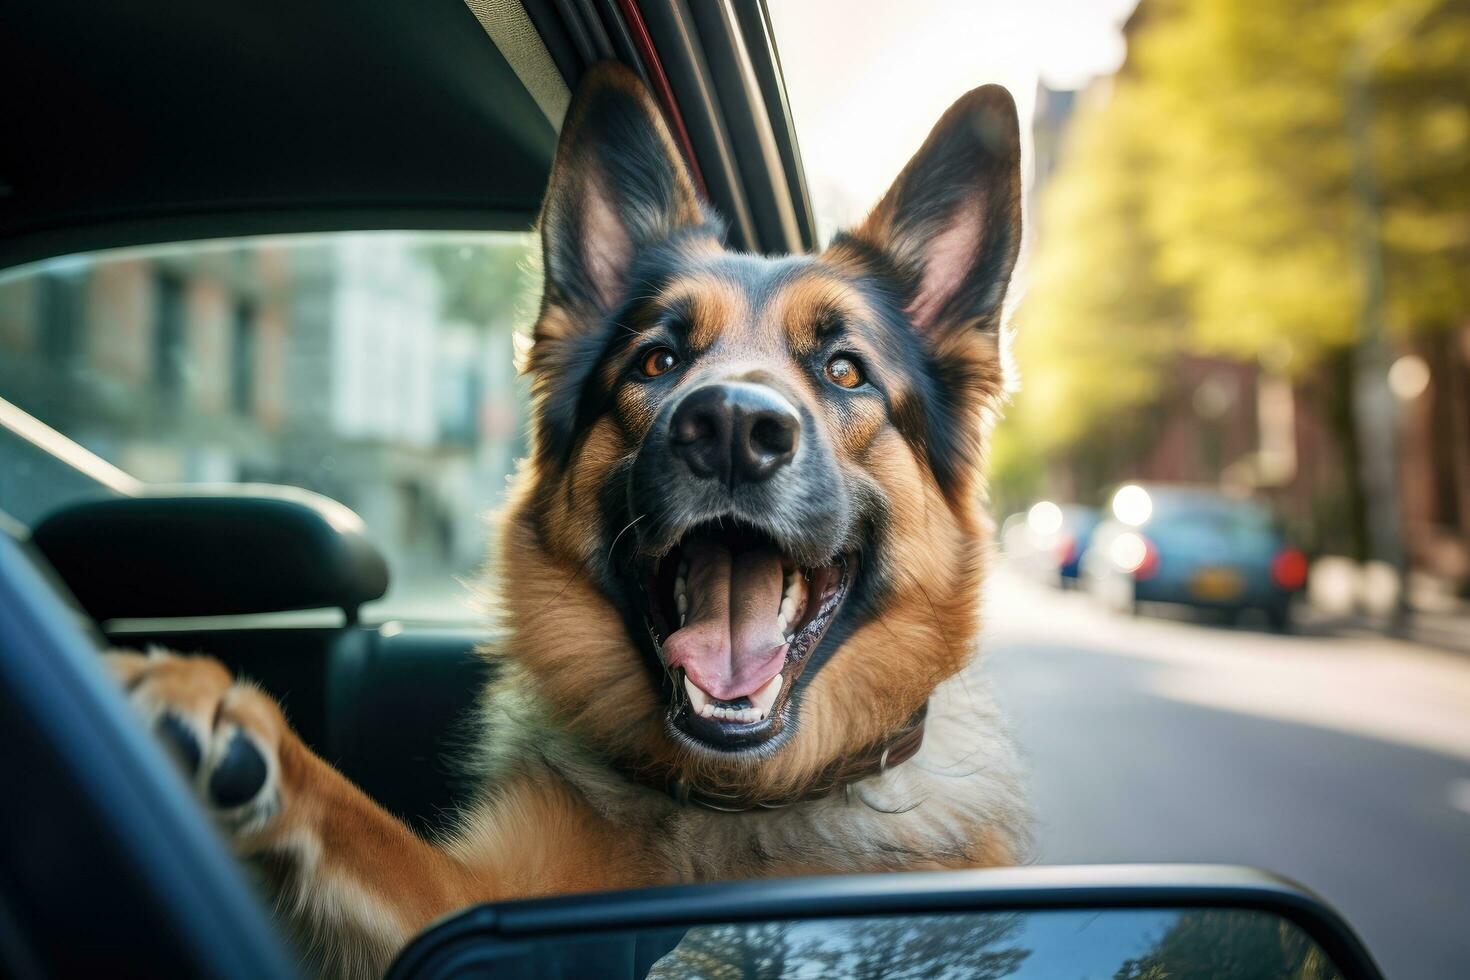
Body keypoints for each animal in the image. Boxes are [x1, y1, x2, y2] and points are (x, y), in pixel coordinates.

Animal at [108, 63, 1029, 980]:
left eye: (844, 371)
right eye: (657, 360)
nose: (733, 428)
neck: (732, 798)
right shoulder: (466, 903)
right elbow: (365, 832)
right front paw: (217, 716)